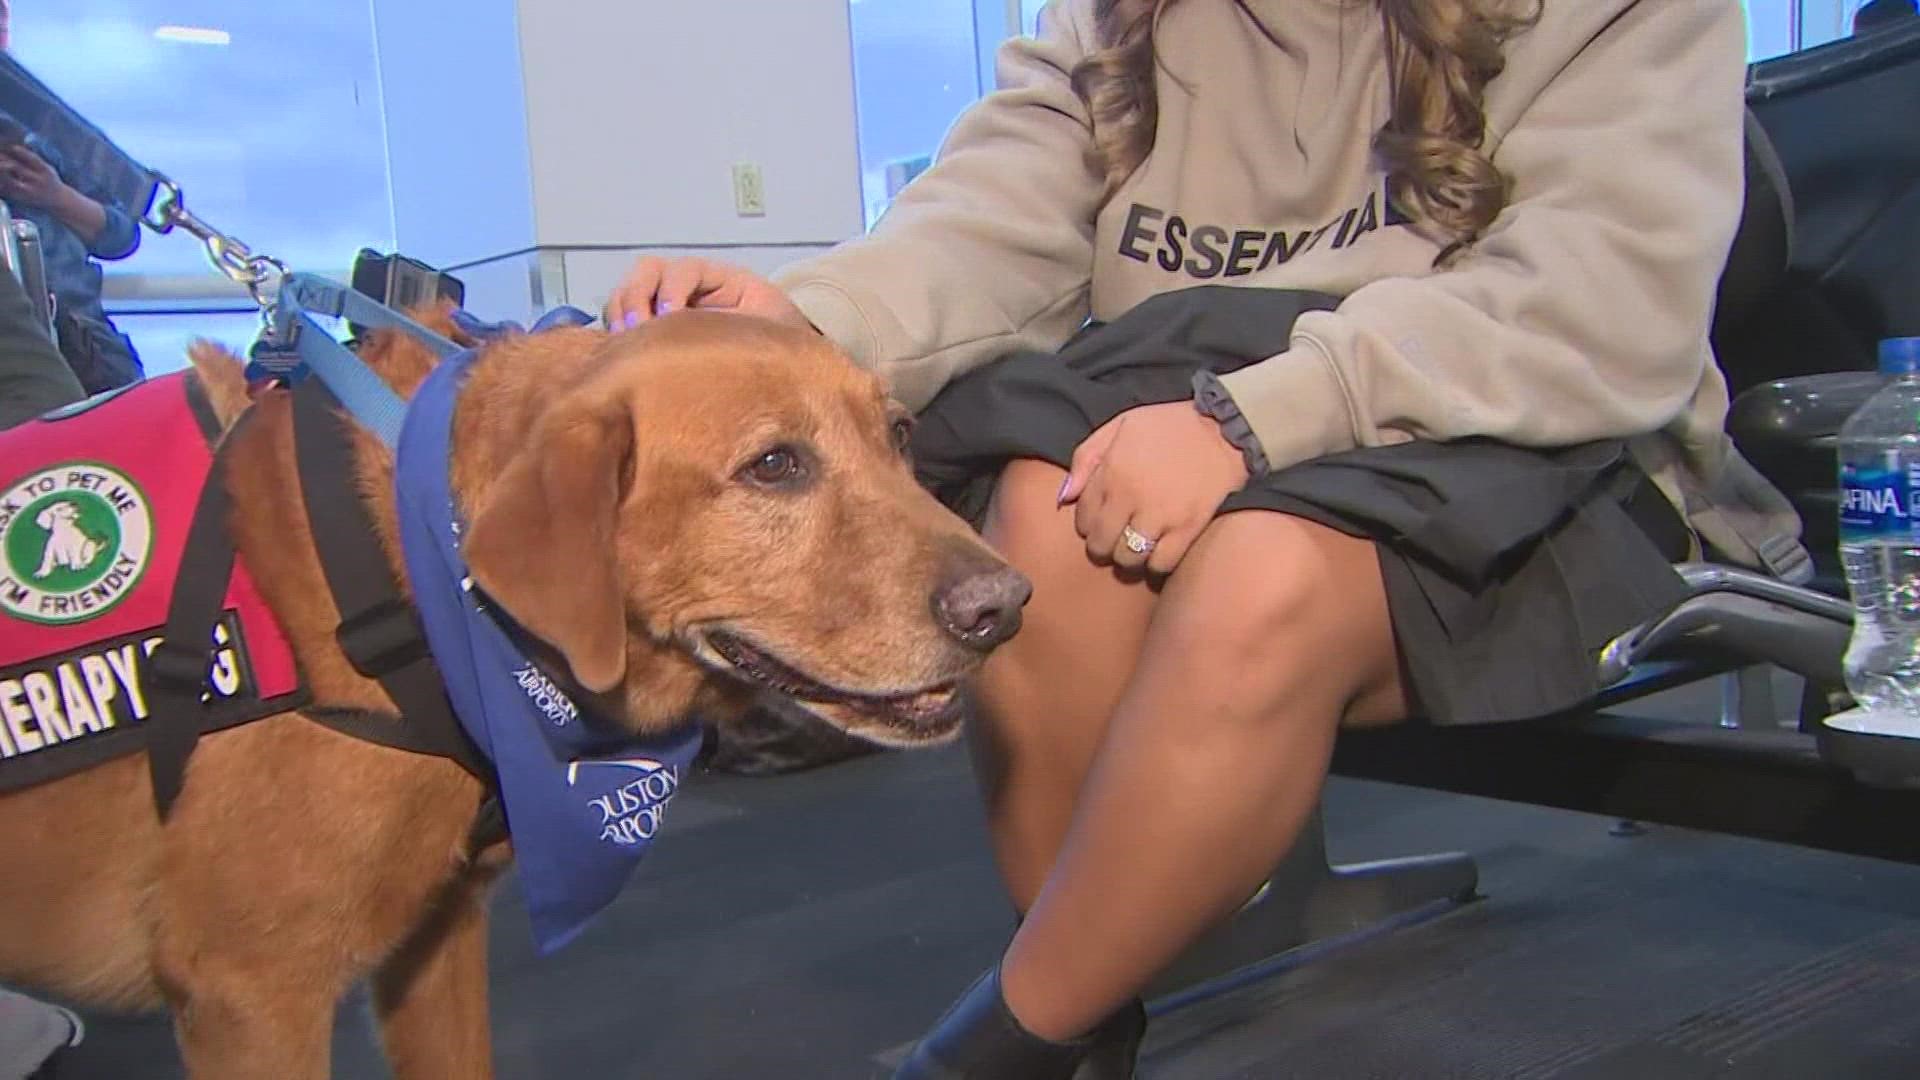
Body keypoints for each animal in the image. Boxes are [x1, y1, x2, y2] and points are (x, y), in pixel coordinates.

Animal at [0, 307, 1036, 1068]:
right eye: (775, 465)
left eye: (899, 435)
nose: (1006, 606)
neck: (419, 571)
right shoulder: (250, 995)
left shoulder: (435, 942)